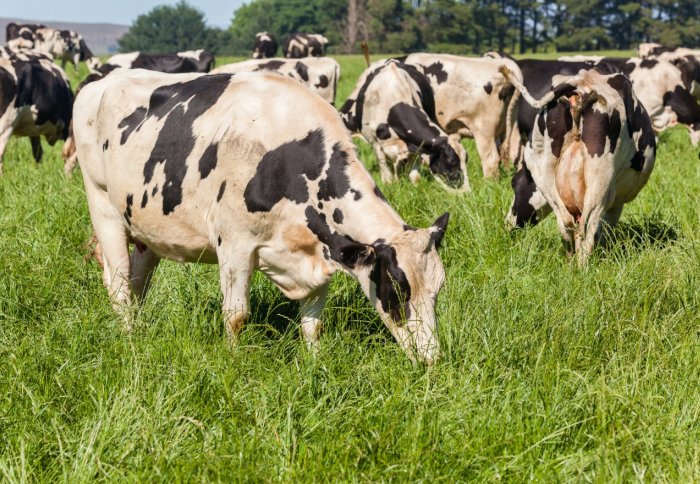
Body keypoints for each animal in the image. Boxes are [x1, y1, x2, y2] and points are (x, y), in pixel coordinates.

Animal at [74, 68, 452, 364]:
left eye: (438, 289)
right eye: (397, 289)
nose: (430, 358)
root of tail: (100, 81)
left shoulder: (321, 251)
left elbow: (313, 324)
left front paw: (315, 364)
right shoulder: (234, 246)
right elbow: (236, 316)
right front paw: (233, 363)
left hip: (145, 230)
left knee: (136, 284)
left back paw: (138, 332)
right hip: (103, 207)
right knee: (120, 285)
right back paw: (129, 342)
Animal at [340, 58, 470, 191]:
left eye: (466, 159)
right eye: (452, 161)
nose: (467, 192)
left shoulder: (415, 146)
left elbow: (415, 176)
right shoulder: (375, 142)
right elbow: (384, 169)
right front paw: (389, 184)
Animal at [498, 66, 656, 262]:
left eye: (513, 184)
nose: (507, 225)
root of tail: (581, 81)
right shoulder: (615, 202)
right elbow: (604, 229)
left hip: (543, 167)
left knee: (566, 221)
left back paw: (571, 262)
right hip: (599, 179)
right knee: (586, 227)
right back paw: (583, 266)